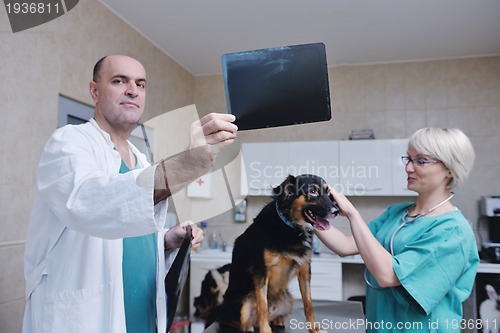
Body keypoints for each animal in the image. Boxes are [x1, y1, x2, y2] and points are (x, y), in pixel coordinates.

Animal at [211, 174, 340, 332]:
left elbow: (308, 302)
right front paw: (265, 330)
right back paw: (249, 326)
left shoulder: (305, 269)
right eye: (313, 191)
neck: (291, 227)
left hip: (288, 299)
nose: (336, 211)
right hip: (243, 301)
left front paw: (314, 327)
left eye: (328, 192)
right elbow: (262, 305)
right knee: (235, 321)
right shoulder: (261, 271)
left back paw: (277, 319)